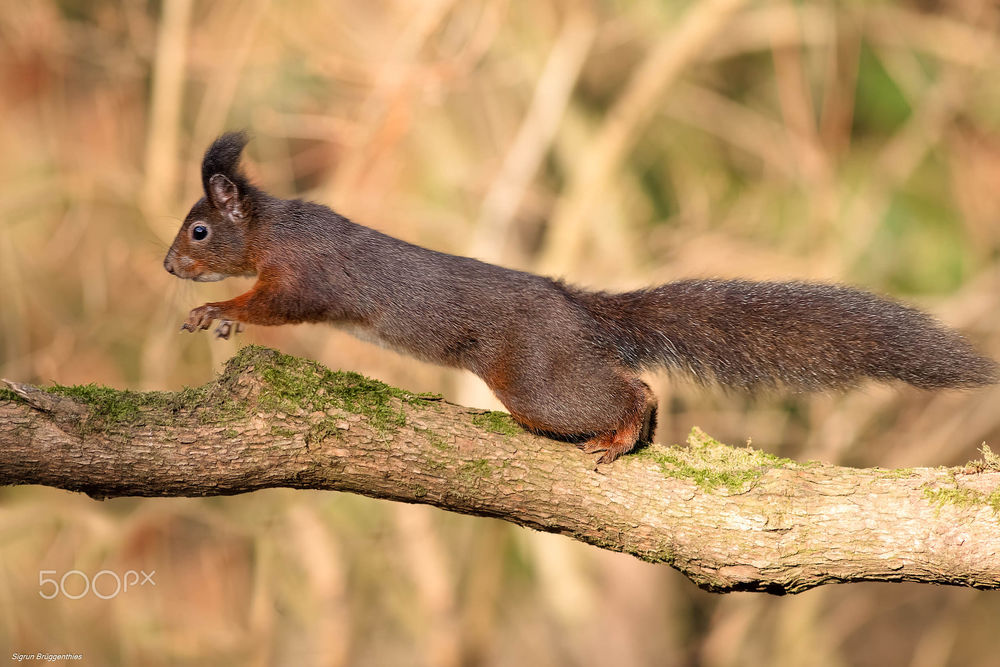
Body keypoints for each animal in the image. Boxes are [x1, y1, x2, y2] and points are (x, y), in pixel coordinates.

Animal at [166, 132, 1000, 462]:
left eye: (200, 228)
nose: (170, 264)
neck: (274, 227)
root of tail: (579, 310)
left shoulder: (306, 276)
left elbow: (273, 305)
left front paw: (216, 313)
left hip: (538, 382)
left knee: (628, 388)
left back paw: (619, 435)